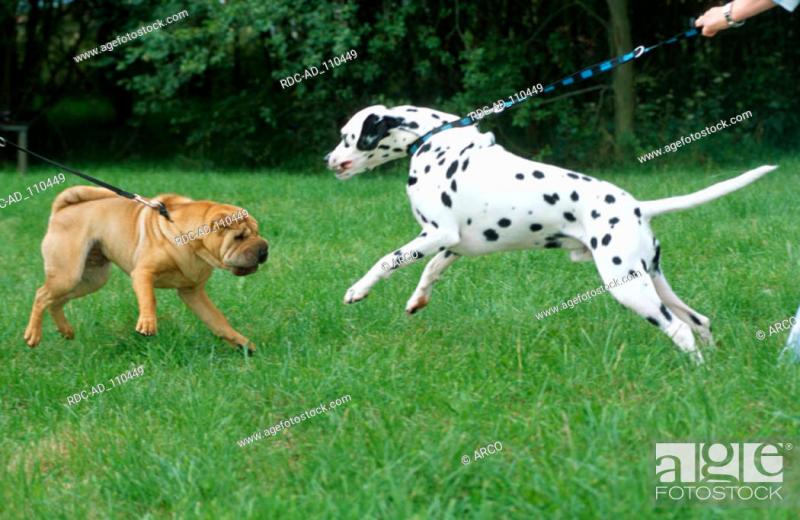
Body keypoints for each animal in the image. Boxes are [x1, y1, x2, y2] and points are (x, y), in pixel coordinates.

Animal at [23, 187, 268, 354]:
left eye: (257, 232)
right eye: (239, 237)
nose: (264, 249)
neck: (190, 242)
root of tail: (60, 211)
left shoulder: (193, 291)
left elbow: (217, 320)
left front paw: (243, 344)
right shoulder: (143, 273)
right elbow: (149, 298)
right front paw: (148, 323)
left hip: (90, 279)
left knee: (55, 301)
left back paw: (66, 330)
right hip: (68, 273)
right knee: (41, 295)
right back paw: (33, 335)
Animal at [324, 104, 776, 364]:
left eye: (348, 136)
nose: (328, 158)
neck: (435, 142)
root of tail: (638, 207)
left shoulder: (435, 234)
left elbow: (386, 261)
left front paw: (357, 290)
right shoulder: (453, 244)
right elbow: (431, 270)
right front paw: (417, 300)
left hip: (628, 287)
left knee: (680, 329)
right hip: (653, 280)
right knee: (699, 321)